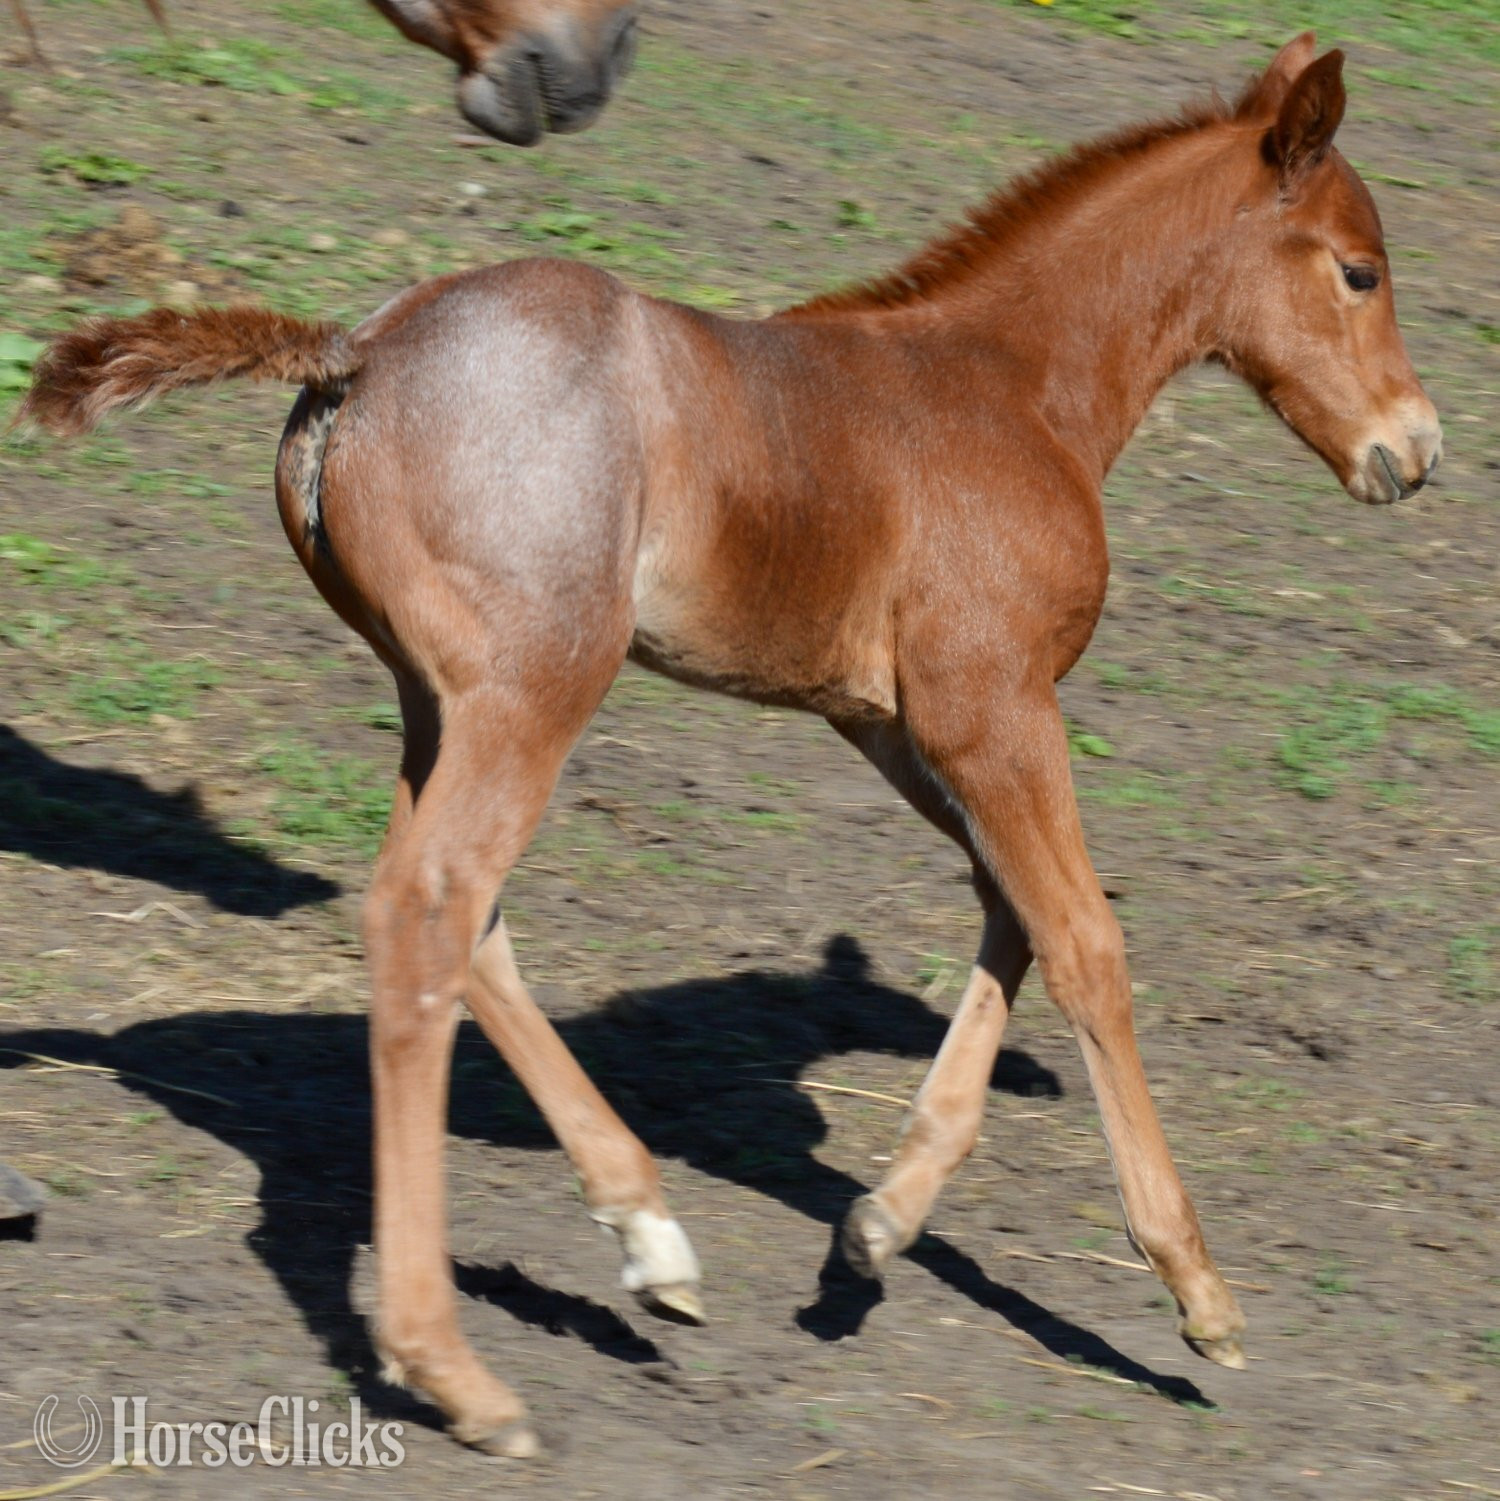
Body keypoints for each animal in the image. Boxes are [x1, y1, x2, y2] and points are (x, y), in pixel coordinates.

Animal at [21, 32, 1441, 1458]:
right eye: (1359, 270)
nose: (1415, 450)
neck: (1015, 387)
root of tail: (357, 350)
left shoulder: (887, 720)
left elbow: (1012, 910)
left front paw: (876, 1228)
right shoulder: (991, 703)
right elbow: (1088, 940)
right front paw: (1197, 1289)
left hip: (444, 699)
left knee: (465, 920)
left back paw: (647, 1235)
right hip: (539, 687)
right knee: (429, 911)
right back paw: (456, 1368)